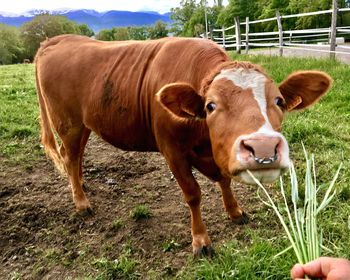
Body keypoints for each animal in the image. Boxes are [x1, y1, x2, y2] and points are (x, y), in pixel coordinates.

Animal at [34, 34, 330, 256]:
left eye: (279, 101)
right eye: (210, 106)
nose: (264, 148)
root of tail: (58, 39)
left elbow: (225, 181)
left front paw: (234, 211)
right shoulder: (172, 151)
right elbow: (193, 194)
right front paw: (201, 240)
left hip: (84, 125)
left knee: (75, 156)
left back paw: (81, 185)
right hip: (68, 124)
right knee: (70, 156)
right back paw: (81, 202)